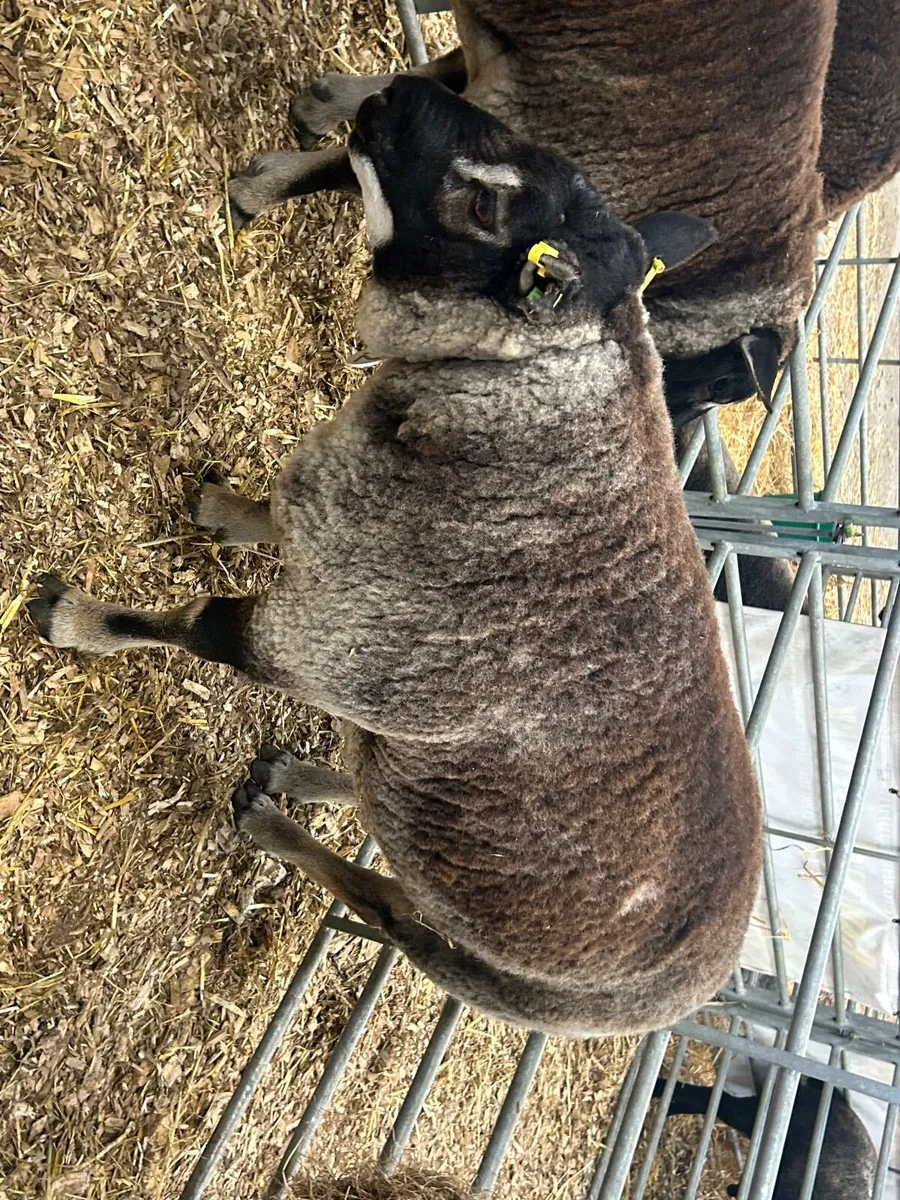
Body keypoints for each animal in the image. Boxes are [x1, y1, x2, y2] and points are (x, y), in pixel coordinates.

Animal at [29, 78, 761, 1036]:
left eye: (484, 206)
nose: (399, 88)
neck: (524, 414)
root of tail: (702, 983)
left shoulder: (338, 644)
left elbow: (195, 624)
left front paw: (72, 619)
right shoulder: (342, 522)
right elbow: (276, 514)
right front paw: (222, 512)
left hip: (461, 934)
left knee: (383, 904)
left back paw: (272, 826)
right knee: (374, 791)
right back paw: (289, 777)